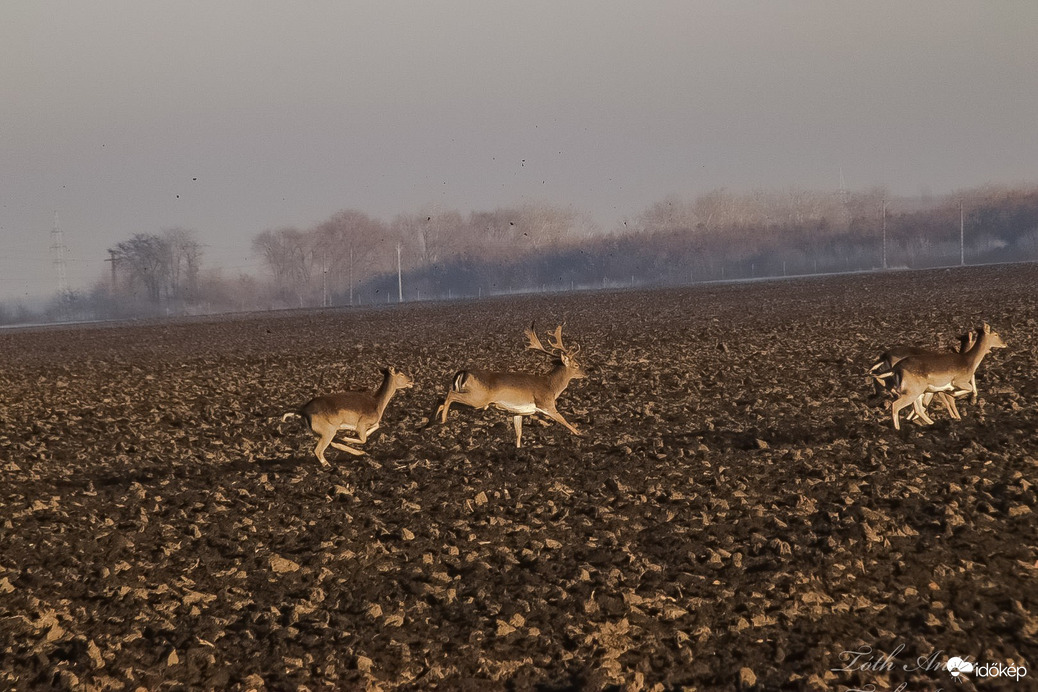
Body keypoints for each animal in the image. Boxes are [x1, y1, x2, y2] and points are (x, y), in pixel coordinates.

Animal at [286, 367, 415, 464]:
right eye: (401, 374)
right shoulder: (361, 424)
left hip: (320, 433)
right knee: (318, 450)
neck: (377, 403)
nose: (411, 381)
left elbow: (376, 426)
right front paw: (346, 438)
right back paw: (329, 465)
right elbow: (363, 439)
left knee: (329, 444)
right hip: (328, 431)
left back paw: (359, 453)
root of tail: (303, 411)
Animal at [433, 321, 589, 446]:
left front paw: (518, 448)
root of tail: (463, 372)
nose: (586, 372)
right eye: (576, 364)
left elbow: (518, 434)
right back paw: (442, 420)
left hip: (471, 401)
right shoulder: (546, 404)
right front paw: (581, 434)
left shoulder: (517, 412)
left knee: (442, 399)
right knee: (450, 395)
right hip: (478, 398)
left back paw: (434, 419)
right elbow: (565, 422)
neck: (551, 386)